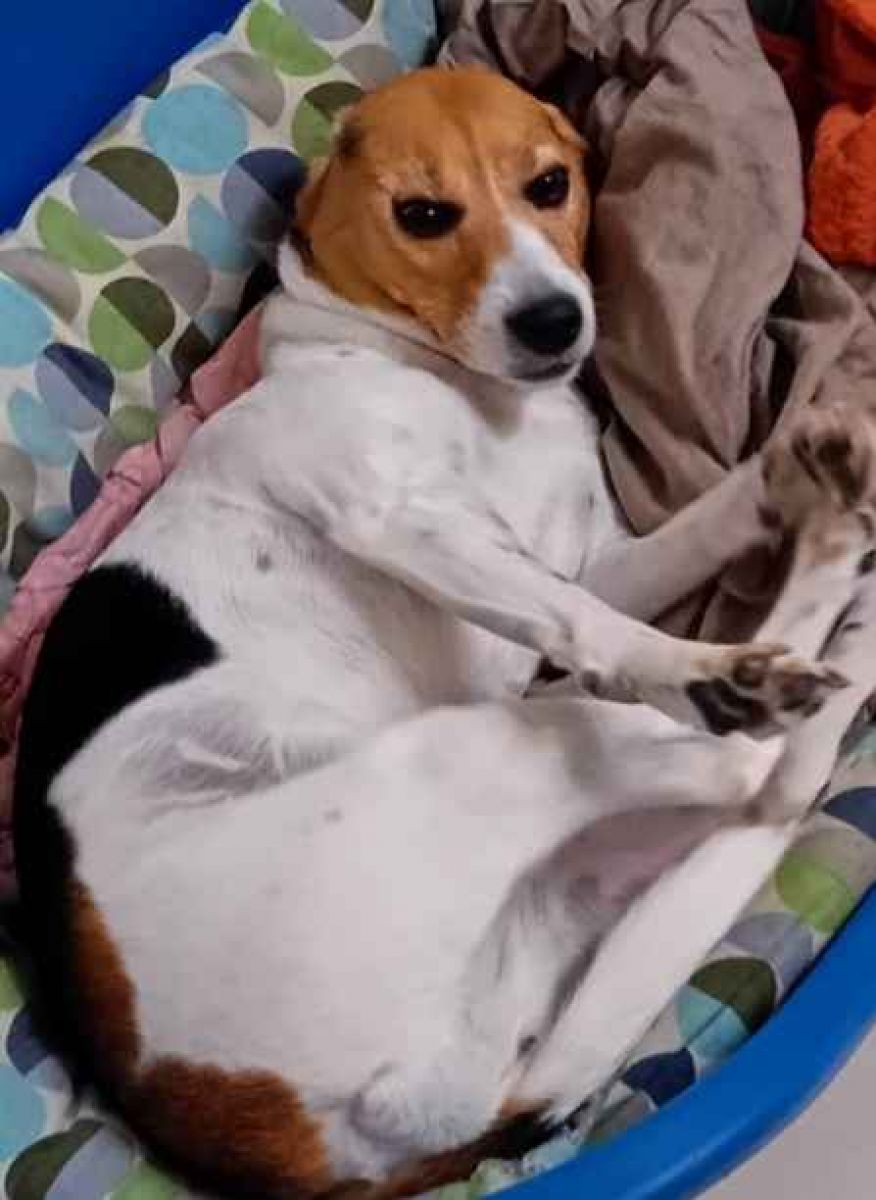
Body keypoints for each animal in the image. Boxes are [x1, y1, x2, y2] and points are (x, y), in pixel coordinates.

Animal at [13, 66, 876, 1199]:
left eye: (550, 184)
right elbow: (590, 623)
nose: (555, 323)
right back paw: (791, 646)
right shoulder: (401, 518)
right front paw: (694, 663)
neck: (455, 383)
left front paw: (791, 469)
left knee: (760, 788)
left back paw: (833, 561)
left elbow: (687, 532)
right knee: (765, 774)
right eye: (424, 215)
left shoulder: (592, 557)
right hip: (492, 751)